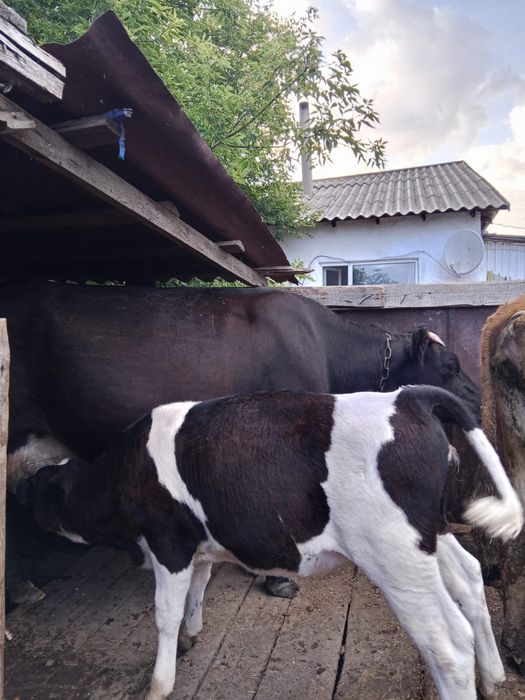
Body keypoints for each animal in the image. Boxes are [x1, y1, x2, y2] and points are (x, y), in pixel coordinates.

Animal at [18, 386, 523, 700]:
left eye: (40, 487)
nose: (20, 493)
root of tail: (408, 395)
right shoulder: (201, 541)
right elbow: (198, 588)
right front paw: (192, 634)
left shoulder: (168, 541)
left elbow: (164, 613)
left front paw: (160, 681)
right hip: (428, 534)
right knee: (469, 578)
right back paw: (494, 677)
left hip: (394, 554)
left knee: (447, 644)